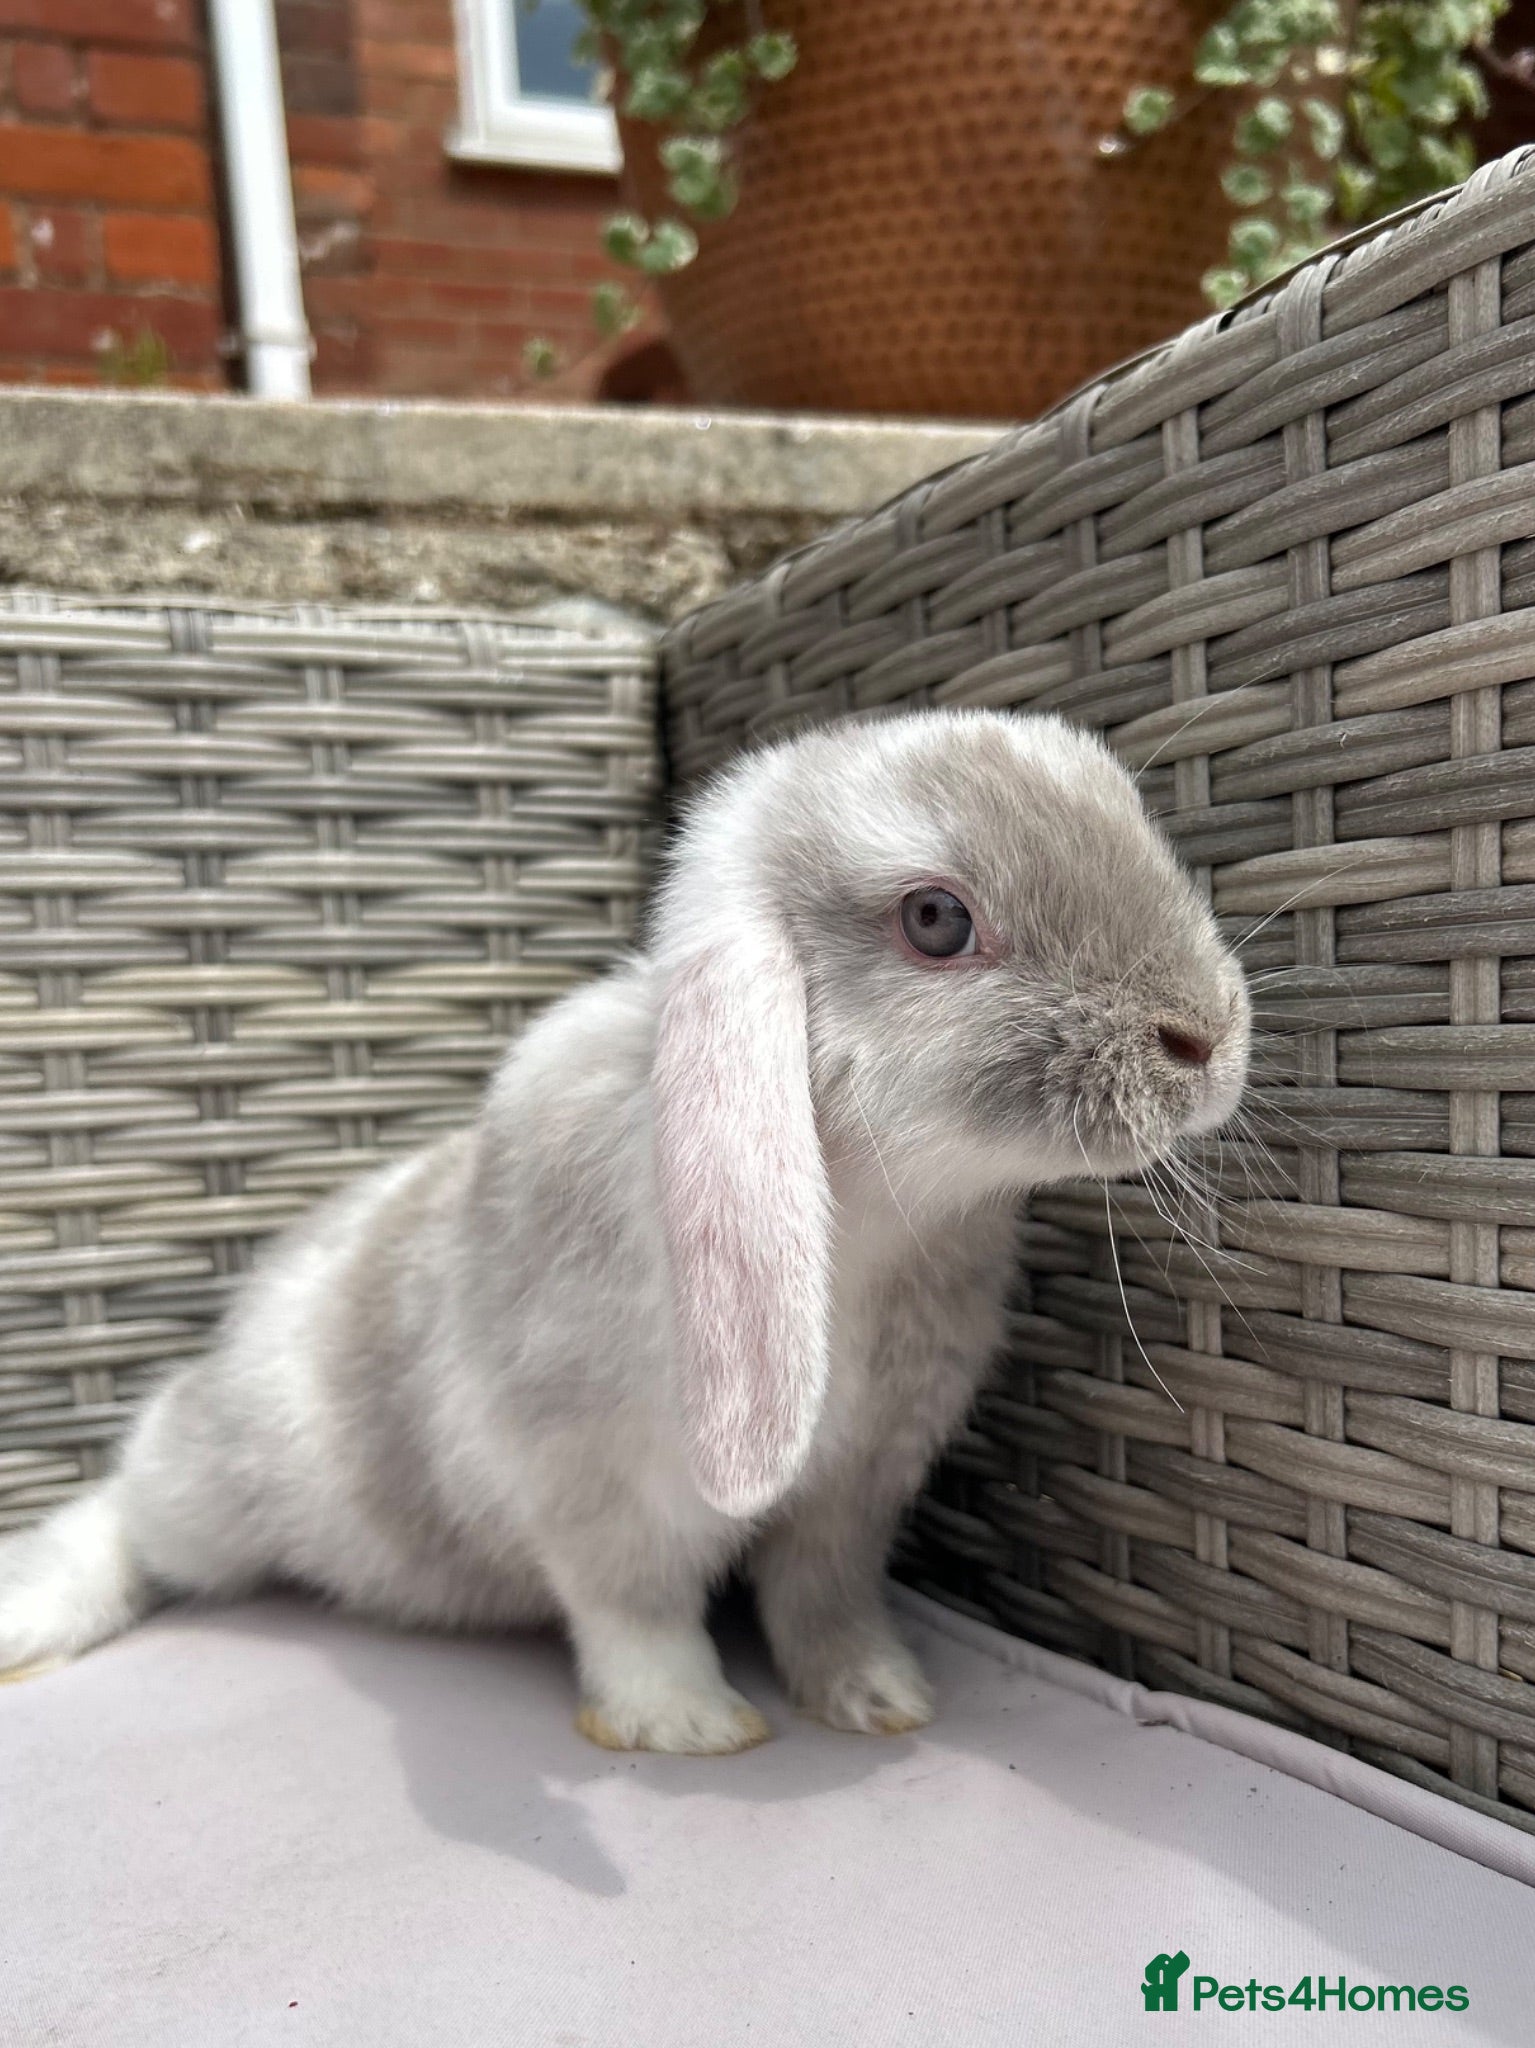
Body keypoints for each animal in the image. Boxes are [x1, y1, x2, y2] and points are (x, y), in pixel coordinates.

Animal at [0, 708, 1250, 1753]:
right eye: (935, 920)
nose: (1208, 1032)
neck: (865, 1222)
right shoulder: (592, 1481)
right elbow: (631, 1608)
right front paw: (688, 1724)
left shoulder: (851, 1494)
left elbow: (822, 1600)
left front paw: (876, 1696)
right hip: (216, 1487)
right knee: (129, 1512)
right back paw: (34, 1618)